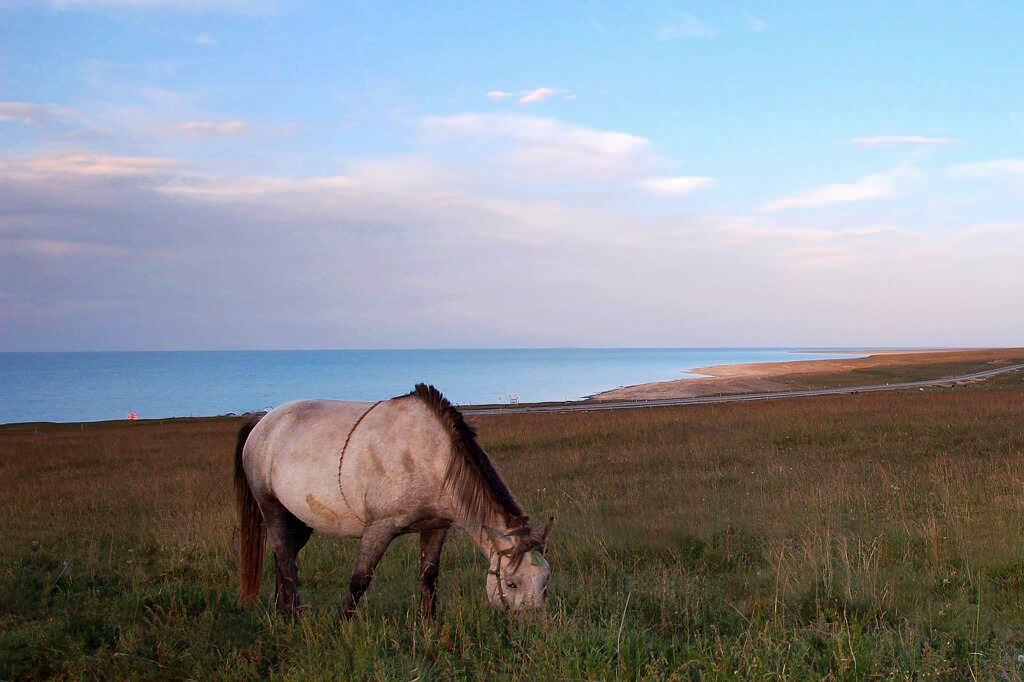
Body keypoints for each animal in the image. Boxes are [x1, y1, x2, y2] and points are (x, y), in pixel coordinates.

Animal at [233, 382, 552, 614]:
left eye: (545, 580)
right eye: (511, 584)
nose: (531, 625)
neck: (431, 457)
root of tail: (263, 421)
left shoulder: (437, 527)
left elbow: (429, 577)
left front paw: (427, 625)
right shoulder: (379, 528)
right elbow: (359, 580)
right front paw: (339, 627)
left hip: (299, 520)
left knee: (282, 557)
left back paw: (282, 614)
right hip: (272, 509)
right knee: (287, 565)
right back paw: (296, 618)